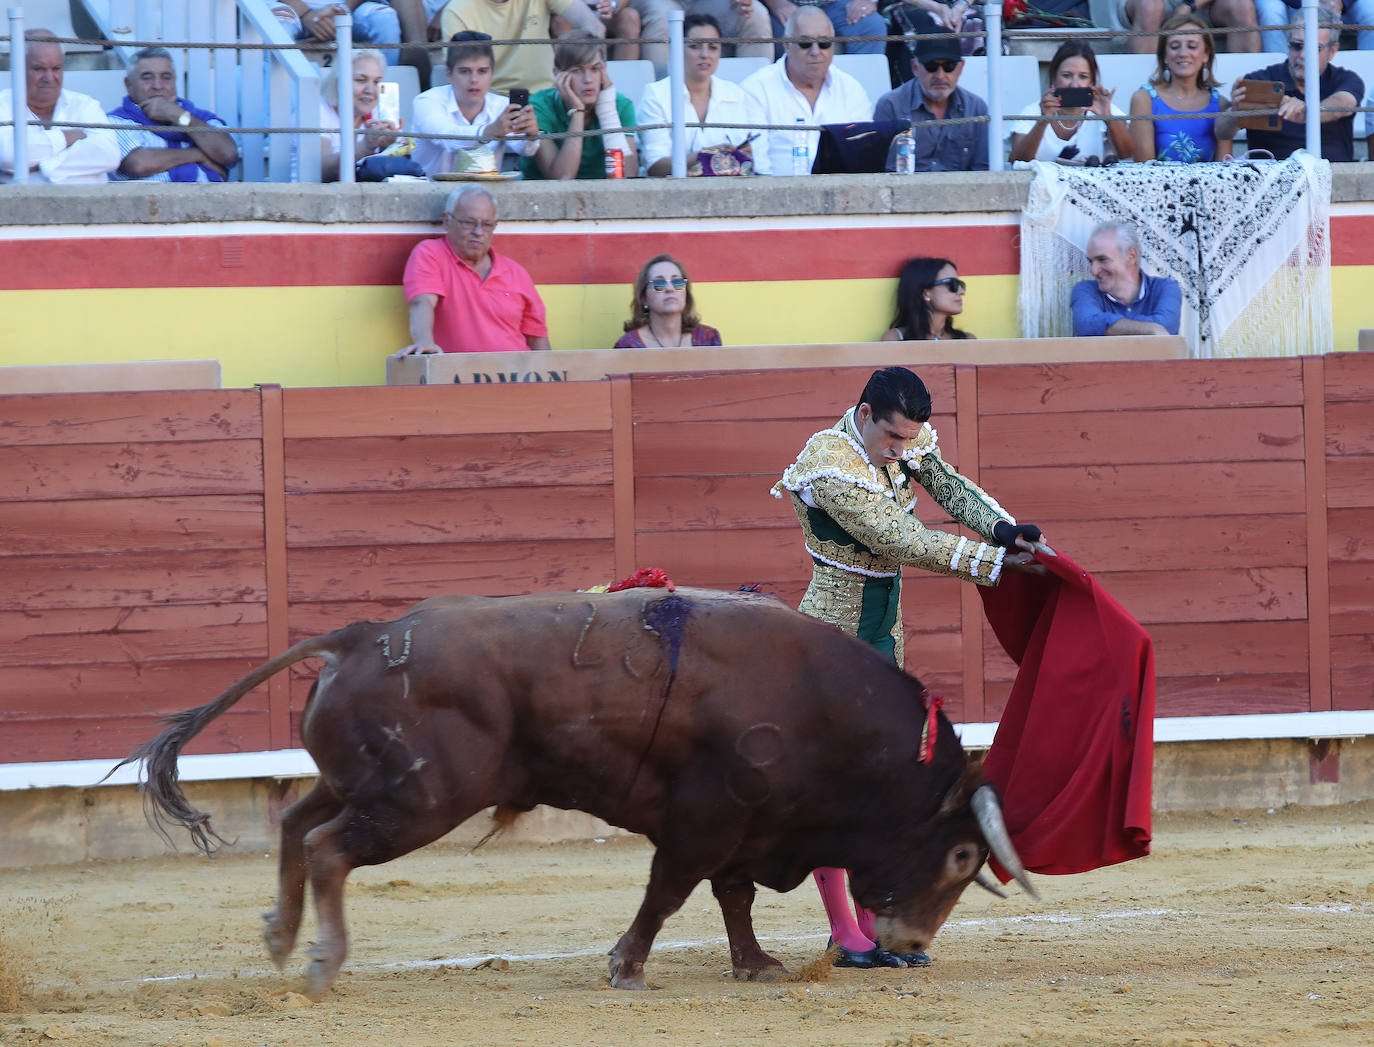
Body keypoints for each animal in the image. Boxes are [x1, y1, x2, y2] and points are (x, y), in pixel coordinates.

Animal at [118, 582, 1033, 989]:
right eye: (960, 855)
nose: (911, 941)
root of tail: (361, 634)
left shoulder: (748, 826)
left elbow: (732, 897)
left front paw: (756, 964)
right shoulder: (707, 819)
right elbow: (670, 892)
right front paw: (626, 964)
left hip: (366, 782)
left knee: (294, 821)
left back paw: (280, 936)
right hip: (417, 802)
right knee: (326, 845)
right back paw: (320, 960)